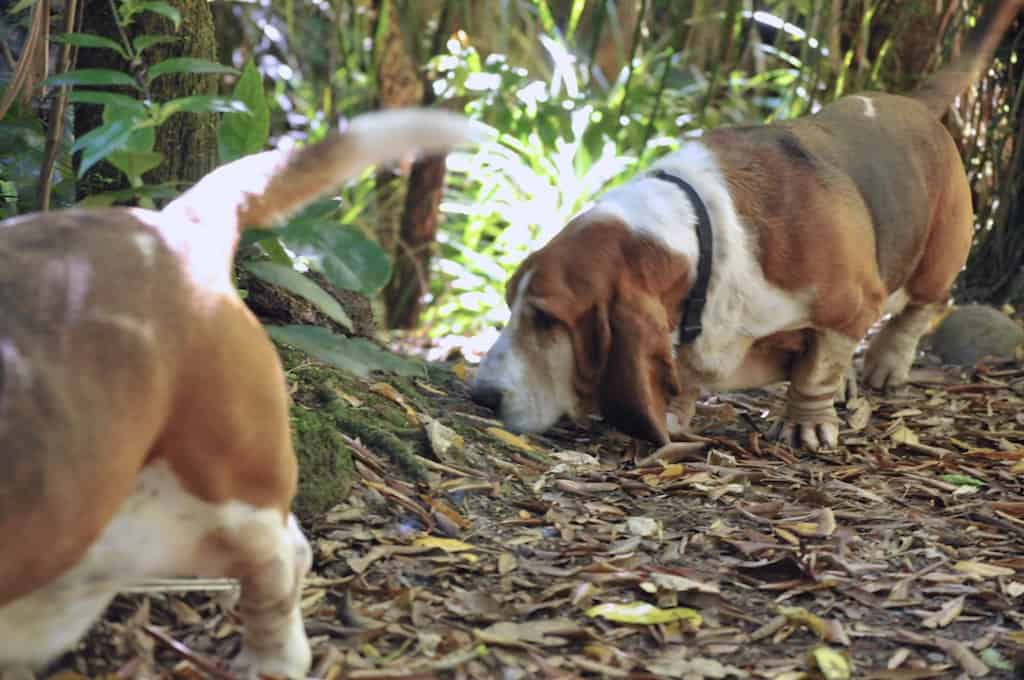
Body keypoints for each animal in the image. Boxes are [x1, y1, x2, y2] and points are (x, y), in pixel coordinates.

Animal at [468, 5, 1015, 454]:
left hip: (939, 255)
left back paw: (885, 364)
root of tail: (914, 105)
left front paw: (804, 425)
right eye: (509, 303)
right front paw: (673, 411)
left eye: (546, 319)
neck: (703, 238)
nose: (480, 396)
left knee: (925, 306)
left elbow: (817, 368)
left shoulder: (848, 306)